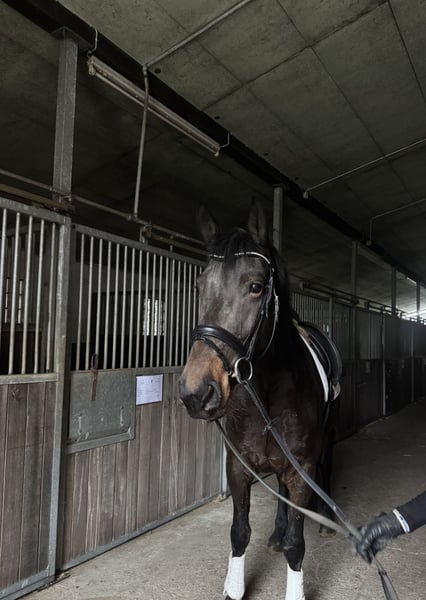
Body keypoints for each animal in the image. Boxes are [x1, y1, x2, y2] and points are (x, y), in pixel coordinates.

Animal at [179, 202, 340, 600]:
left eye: (255, 286)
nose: (196, 393)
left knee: (328, 470)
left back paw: (326, 520)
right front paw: (234, 589)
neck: (269, 393)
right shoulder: (238, 468)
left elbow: (298, 544)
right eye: (200, 285)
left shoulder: (302, 469)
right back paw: (276, 535)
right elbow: (239, 533)